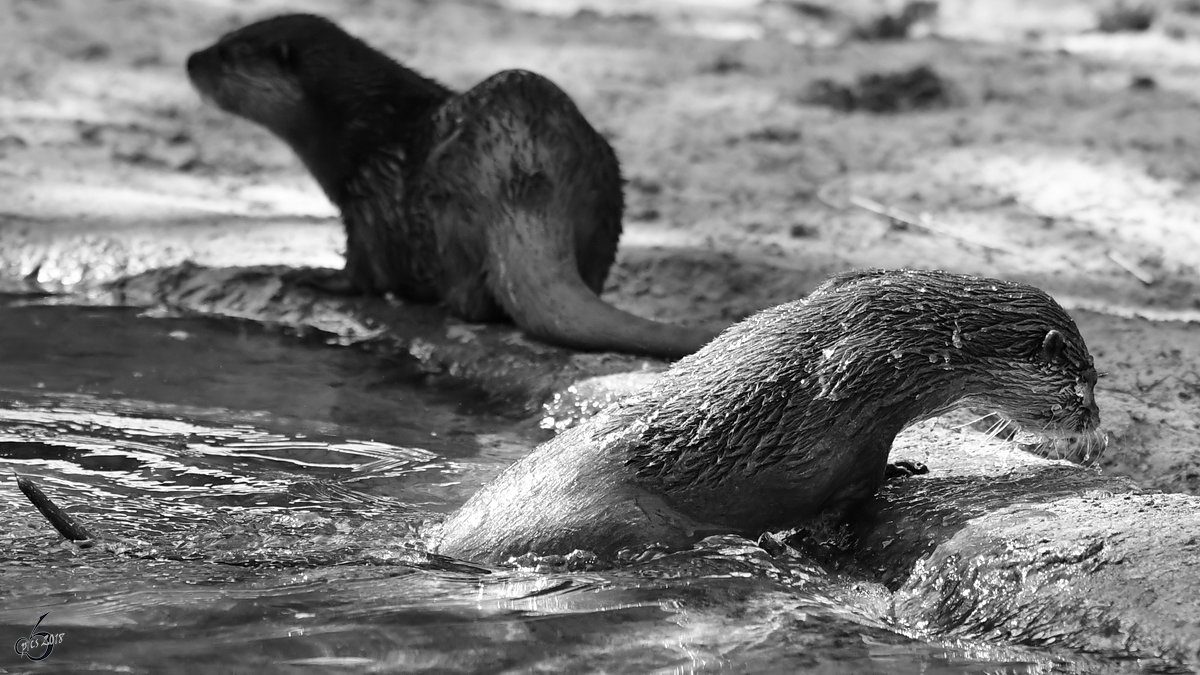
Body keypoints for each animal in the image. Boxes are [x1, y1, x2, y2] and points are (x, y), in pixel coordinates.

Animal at [182, 13, 715, 357]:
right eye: (223, 36)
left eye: (228, 52)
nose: (190, 59)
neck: (364, 124)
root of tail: (521, 175)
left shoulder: (365, 196)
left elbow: (363, 273)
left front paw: (309, 275)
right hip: (607, 181)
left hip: (444, 213)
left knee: (471, 304)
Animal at [436, 269, 1099, 562]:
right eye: (1086, 387)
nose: (1094, 429)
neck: (898, 348)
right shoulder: (854, 435)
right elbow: (843, 497)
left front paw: (909, 467)